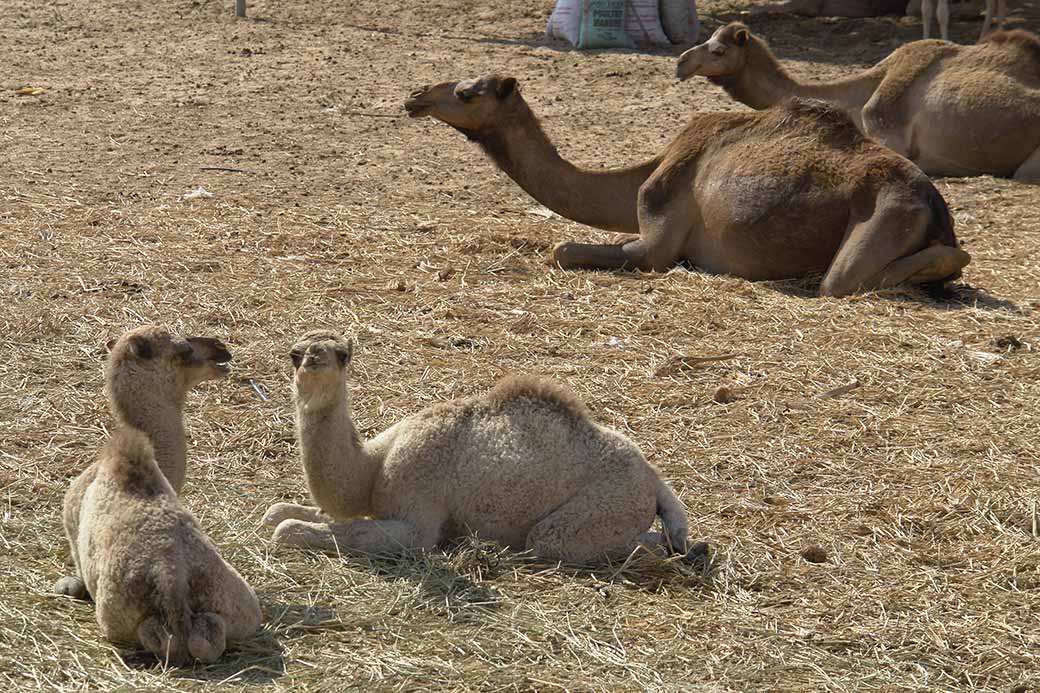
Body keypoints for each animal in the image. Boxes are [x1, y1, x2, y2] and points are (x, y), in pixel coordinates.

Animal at [264, 332, 694, 566]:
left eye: (344, 354)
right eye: (293, 353)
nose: (314, 359)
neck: (374, 466)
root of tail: (651, 479)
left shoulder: (418, 516)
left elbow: (298, 529)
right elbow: (286, 513)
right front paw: (280, 511)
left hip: (603, 506)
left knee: (556, 539)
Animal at [403, 74, 965, 295]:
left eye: (468, 93)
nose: (415, 97)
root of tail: (935, 205)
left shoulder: (657, 236)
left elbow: (563, 249)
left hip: (886, 212)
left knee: (843, 280)